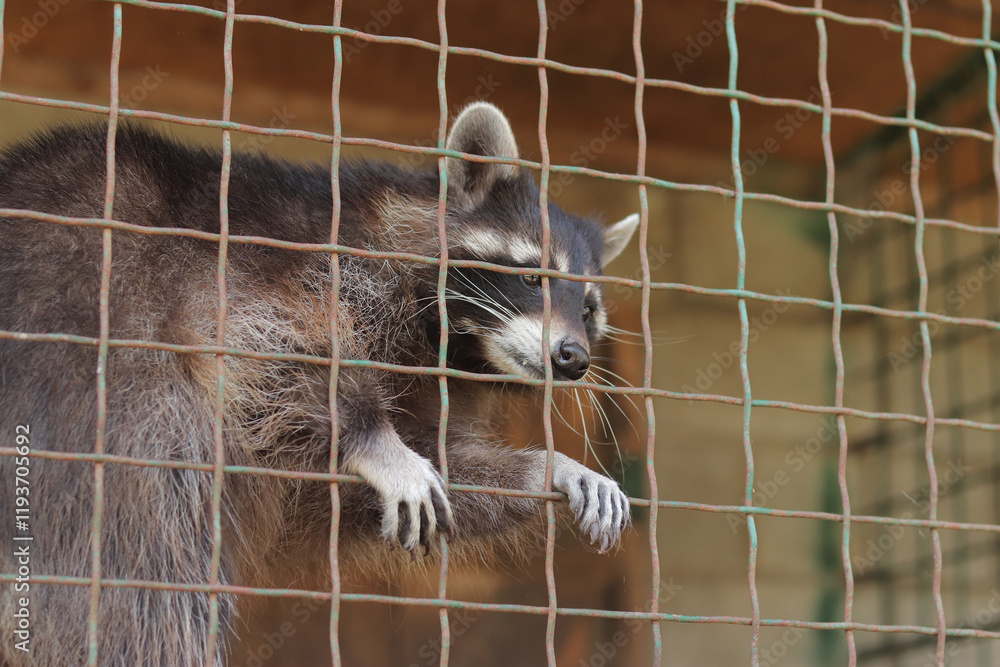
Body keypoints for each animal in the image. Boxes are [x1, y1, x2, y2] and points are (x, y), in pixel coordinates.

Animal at [0, 102, 638, 666]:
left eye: (588, 309)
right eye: (533, 277)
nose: (574, 358)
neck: (457, 344)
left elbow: (363, 486)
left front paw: (545, 467)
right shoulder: (277, 267)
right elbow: (266, 350)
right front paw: (375, 441)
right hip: (97, 396)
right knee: (144, 578)